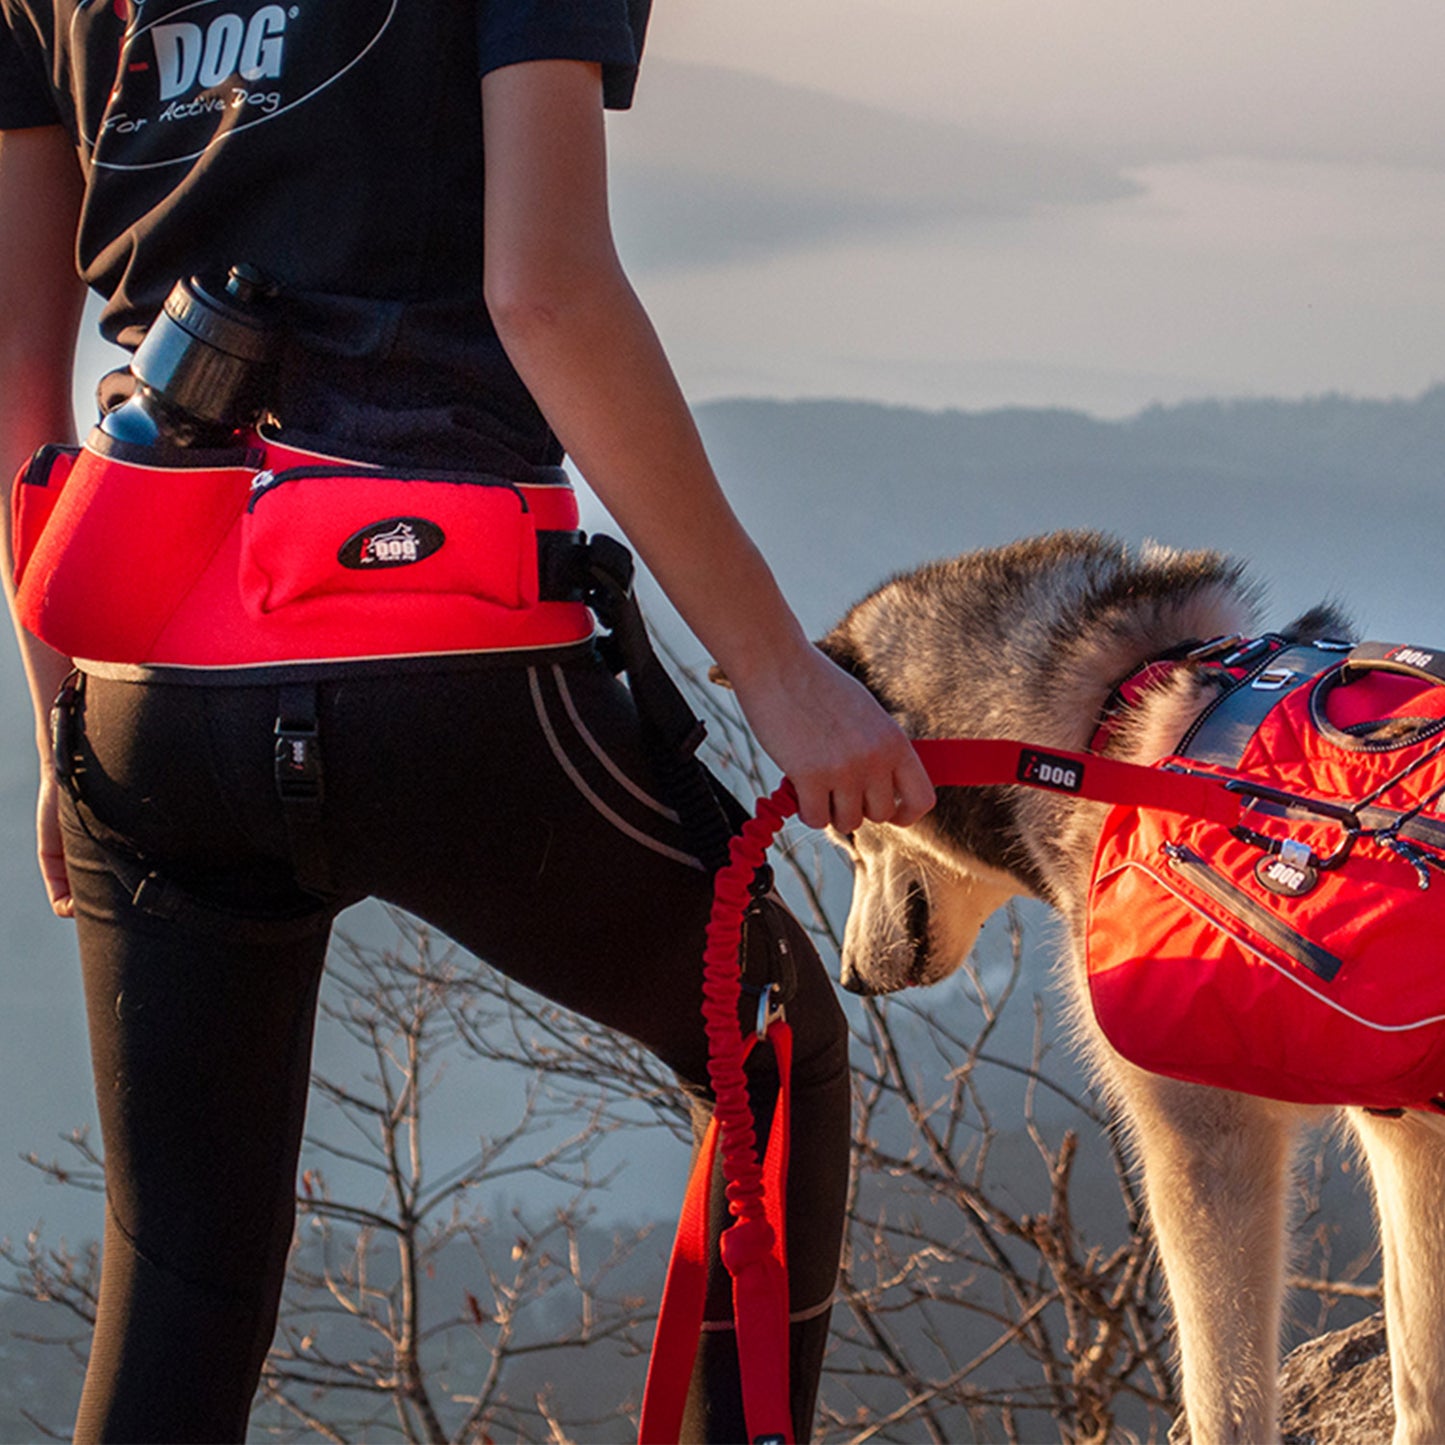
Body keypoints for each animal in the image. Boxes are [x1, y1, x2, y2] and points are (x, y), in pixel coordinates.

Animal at [820, 534, 1439, 1445]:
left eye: (845, 831)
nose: (850, 977)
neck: (1106, 717)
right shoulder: (1406, 1133)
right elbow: (1421, 1375)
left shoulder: (1202, 1143)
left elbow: (1224, 1397)